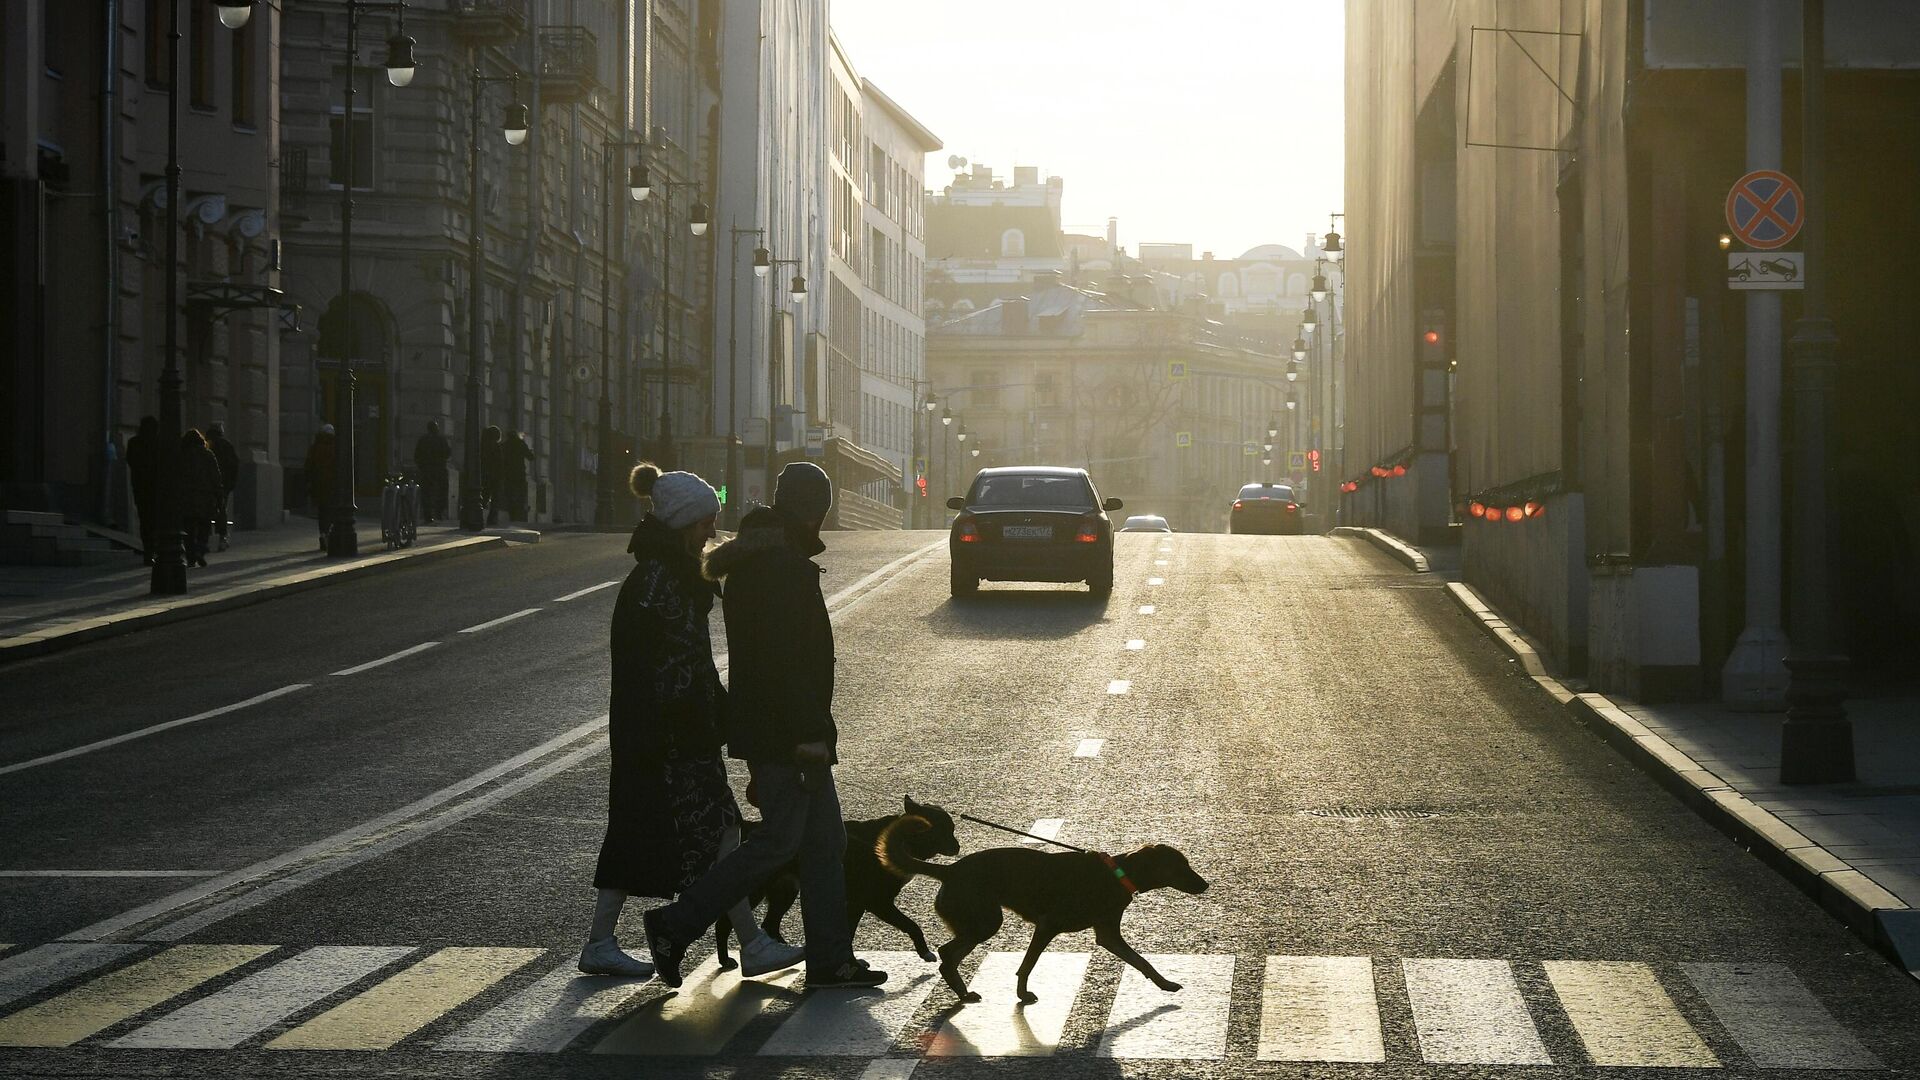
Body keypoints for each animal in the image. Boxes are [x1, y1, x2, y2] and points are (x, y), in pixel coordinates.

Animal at [714, 791, 960, 968]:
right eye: (946, 830)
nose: (958, 847)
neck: (905, 841)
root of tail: (749, 827)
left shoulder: (857, 904)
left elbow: (849, 933)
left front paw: (850, 962)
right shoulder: (878, 903)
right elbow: (912, 925)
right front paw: (925, 952)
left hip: (786, 891)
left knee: (770, 924)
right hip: (755, 890)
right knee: (725, 921)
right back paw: (725, 960)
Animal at [879, 814, 1205, 999]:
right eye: (1181, 867)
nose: (1206, 885)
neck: (1117, 873)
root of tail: (950, 871)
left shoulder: (1108, 935)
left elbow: (1141, 961)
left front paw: (1165, 984)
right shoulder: (1048, 926)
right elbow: (1027, 965)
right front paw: (1022, 995)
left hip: (979, 922)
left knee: (950, 956)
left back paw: (963, 993)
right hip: (985, 922)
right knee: (948, 954)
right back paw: (964, 993)